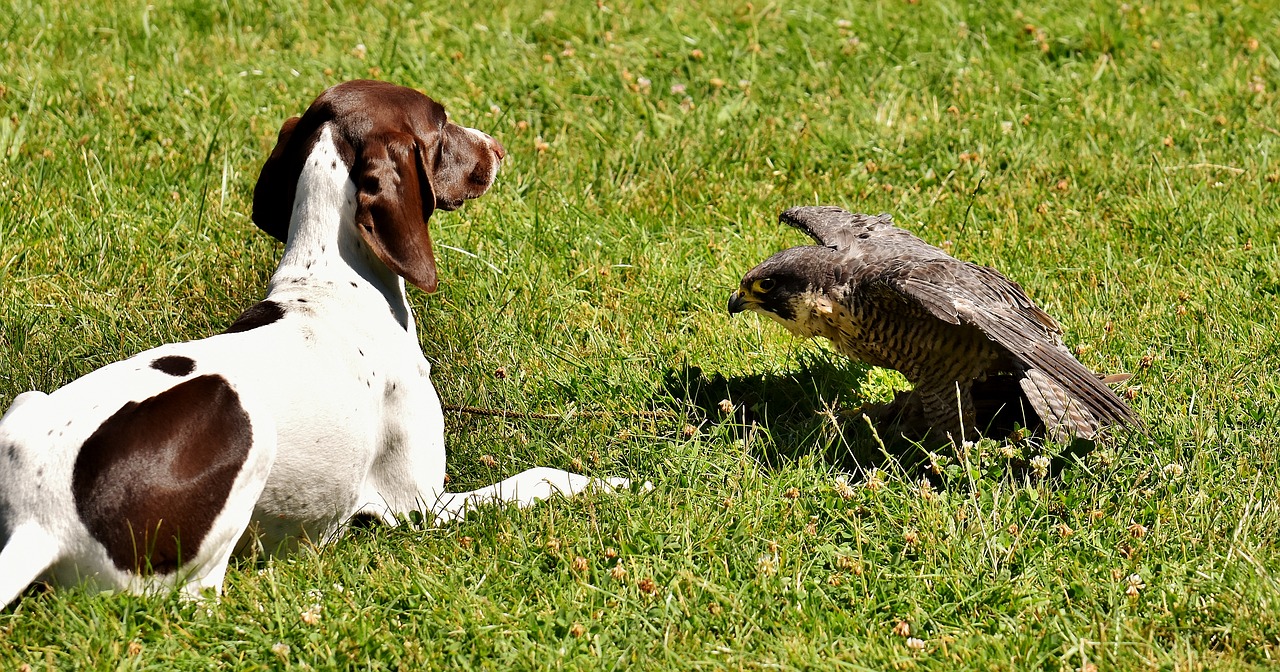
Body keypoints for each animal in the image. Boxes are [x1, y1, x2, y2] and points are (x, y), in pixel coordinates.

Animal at [0, 81, 629, 604]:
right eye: (441, 122)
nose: (496, 148)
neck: (330, 281)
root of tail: (41, 521)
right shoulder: (422, 506)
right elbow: (536, 478)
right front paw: (611, 483)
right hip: (248, 430)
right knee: (198, 597)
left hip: (25, 405)